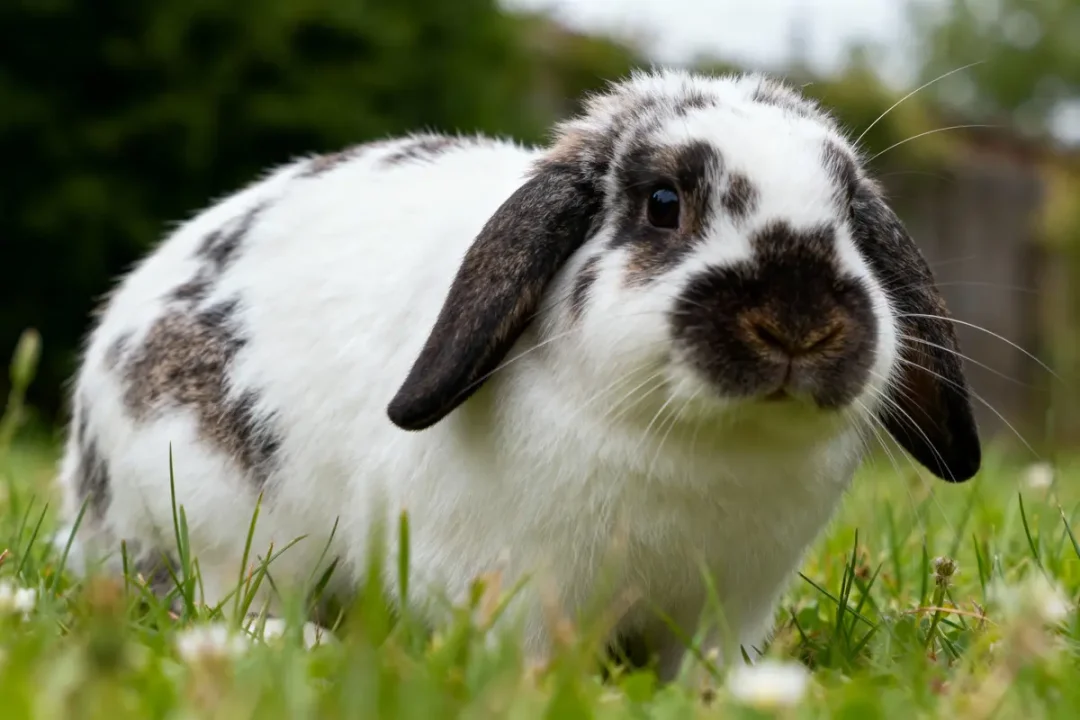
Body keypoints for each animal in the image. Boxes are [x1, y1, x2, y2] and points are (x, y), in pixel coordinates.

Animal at [52, 67, 980, 677]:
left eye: (852, 221)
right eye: (664, 204)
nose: (798, 321)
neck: (704, 447)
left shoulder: (733, 606)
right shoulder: (515, 584)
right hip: (214, 513)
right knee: (222, 599)